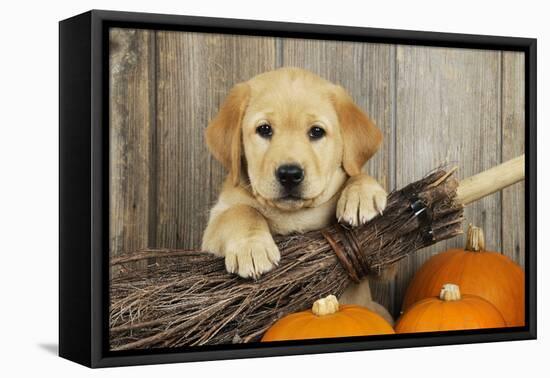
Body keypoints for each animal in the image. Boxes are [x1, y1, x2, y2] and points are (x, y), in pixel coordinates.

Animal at [203, 68, 392, 322]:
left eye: (316, 132)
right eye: (264, 129)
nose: (290, 174)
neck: (294, 214)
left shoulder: (381, 263)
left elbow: (355, 173)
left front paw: (361, 192)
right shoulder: (211, 231)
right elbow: (241, 211)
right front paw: (251, 247)